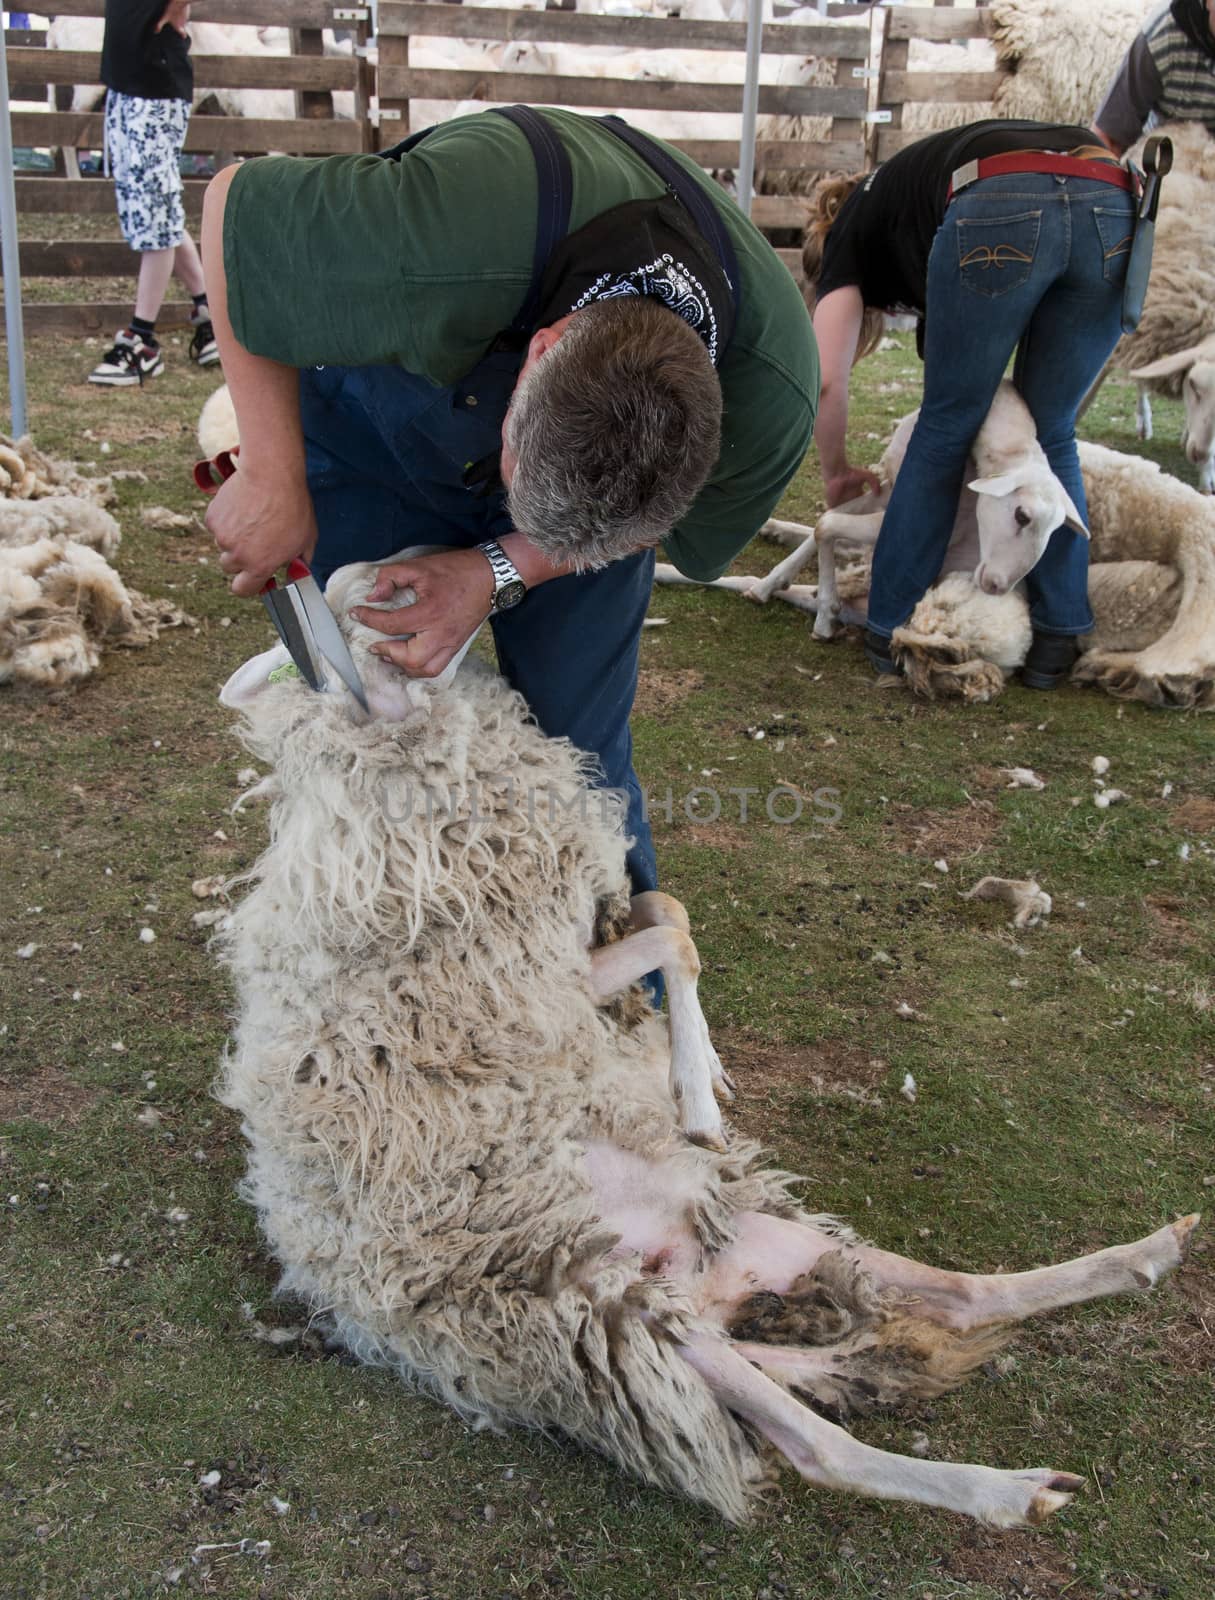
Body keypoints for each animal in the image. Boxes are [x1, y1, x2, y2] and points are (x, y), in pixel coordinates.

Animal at [216, 556, 1197, 1529]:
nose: (383, 569)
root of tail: (715, 1295)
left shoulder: (555, 975)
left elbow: (669, 919)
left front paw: (699, 1079)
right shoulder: (528, 986)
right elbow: (668, 935)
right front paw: (693, 1089)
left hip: (746, 1232)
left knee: (958, 1296)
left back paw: (1143, 1256)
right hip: (614, 1312)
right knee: (818, 1448)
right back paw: (1005, 1492)